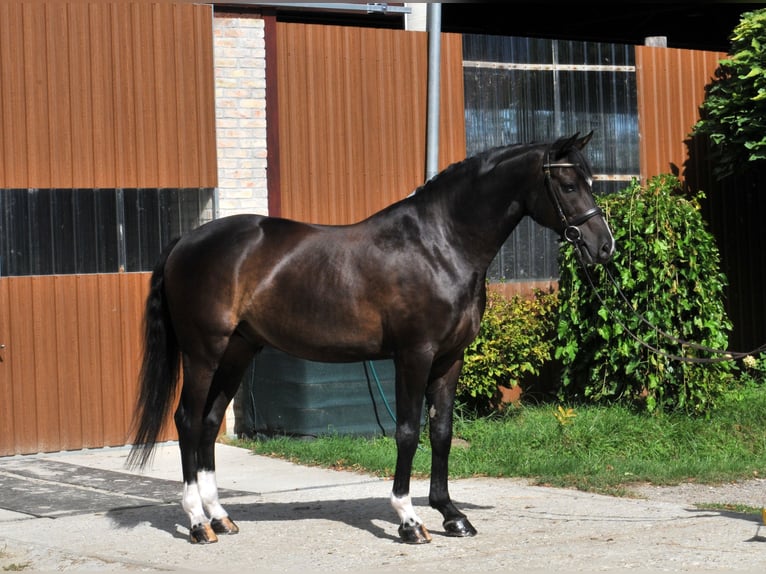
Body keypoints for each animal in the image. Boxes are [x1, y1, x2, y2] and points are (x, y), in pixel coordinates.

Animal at [126, 132, 614, 545]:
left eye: (591, 181)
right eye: (568, 185)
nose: (604, 246)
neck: (439, 245)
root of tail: (186, 240)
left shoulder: (450, 358)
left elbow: (441, 431)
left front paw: (452, 515)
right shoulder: (414, 355)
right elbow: (408, 432)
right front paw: (410, 520)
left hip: (237, 351)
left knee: (210, 422)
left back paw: (221, 518)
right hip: (203, 353)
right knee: (188, 421)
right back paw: (197, 524)